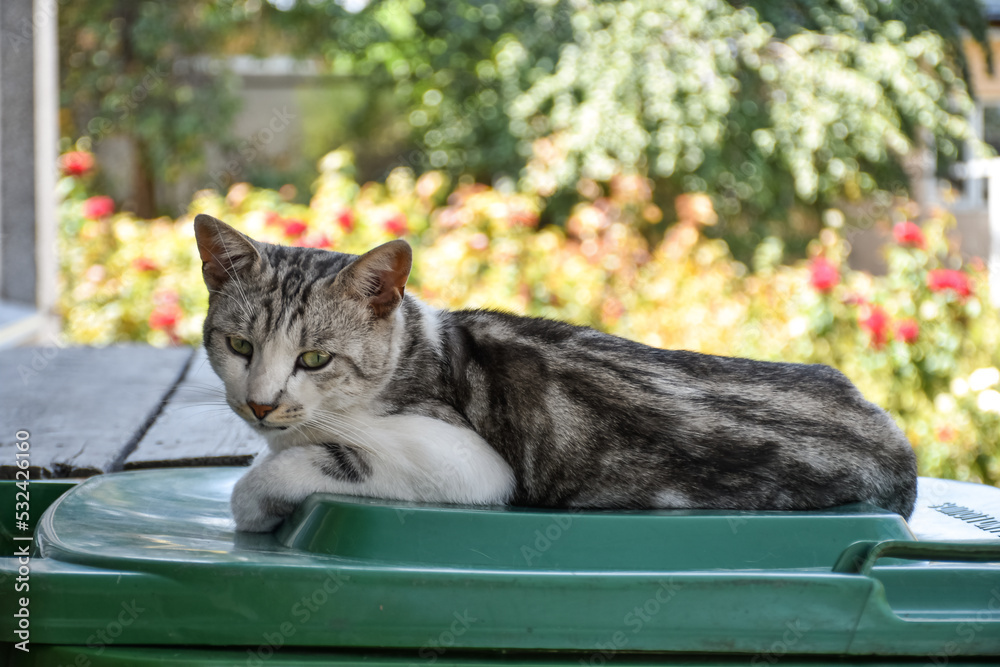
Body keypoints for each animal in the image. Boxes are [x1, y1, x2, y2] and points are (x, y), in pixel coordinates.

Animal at [191, 214, 916, 532]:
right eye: (239, 344)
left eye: (314, 358)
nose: (260, 404)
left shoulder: (467, 463)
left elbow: (295, 464)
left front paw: (256, 499)